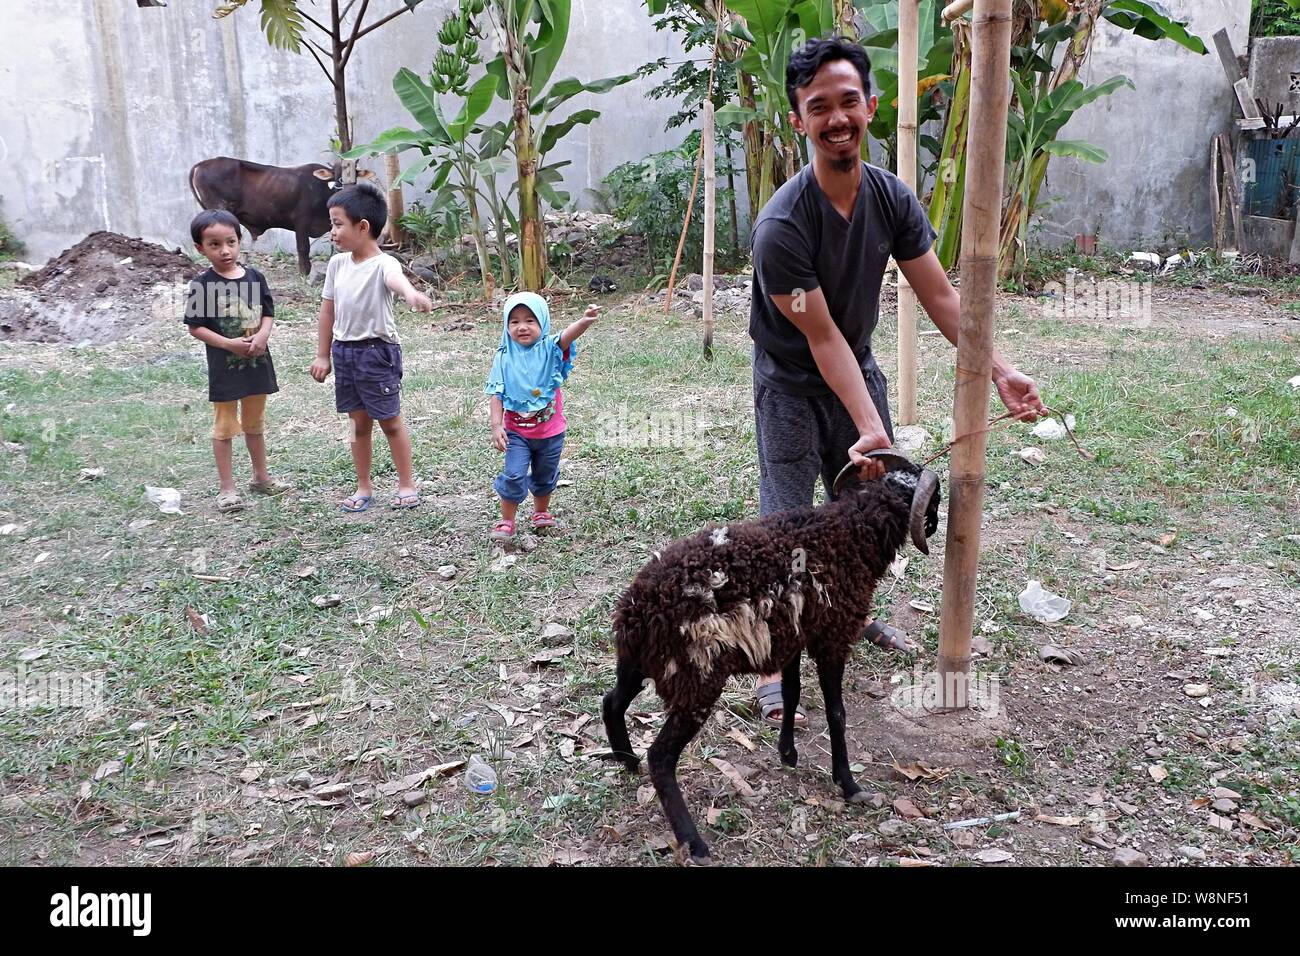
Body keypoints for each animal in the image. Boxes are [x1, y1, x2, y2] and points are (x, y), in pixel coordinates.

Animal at [187, 157, 377, 277]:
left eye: (354, 174)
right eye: (336, 175)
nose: (343, 187)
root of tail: (202, 164)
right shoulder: (301, 221)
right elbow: (303, 248)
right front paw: (305, 273)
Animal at [603, 452, 941, 863]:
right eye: (935, 496)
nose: (937, 523)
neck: (849, 533)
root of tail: (638, 608)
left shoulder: (792, 637)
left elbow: (792, 692)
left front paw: (788, 753)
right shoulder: (832, 636)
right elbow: (837, 713)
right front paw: (848, 784)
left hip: (639, 663)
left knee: (612, 702)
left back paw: (627, 760)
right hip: (696, 679)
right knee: (661, 757)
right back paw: (694, 842)